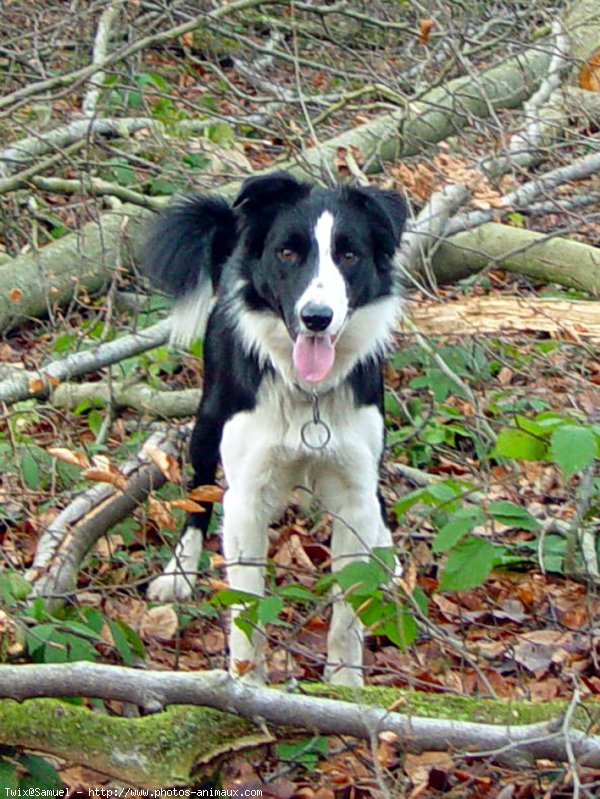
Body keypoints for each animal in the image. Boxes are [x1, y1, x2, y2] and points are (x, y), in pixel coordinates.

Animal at [144, 172, 408, 684]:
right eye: (288, 253)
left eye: (349, 256)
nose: (316, 318)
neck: (308, 394)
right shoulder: (246, 496)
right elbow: (247, 607)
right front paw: (247, 684)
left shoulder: (355, 485)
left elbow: (348, 610)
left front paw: (346, 684)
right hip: (209, 419)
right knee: (197, 497)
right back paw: (180, 571)